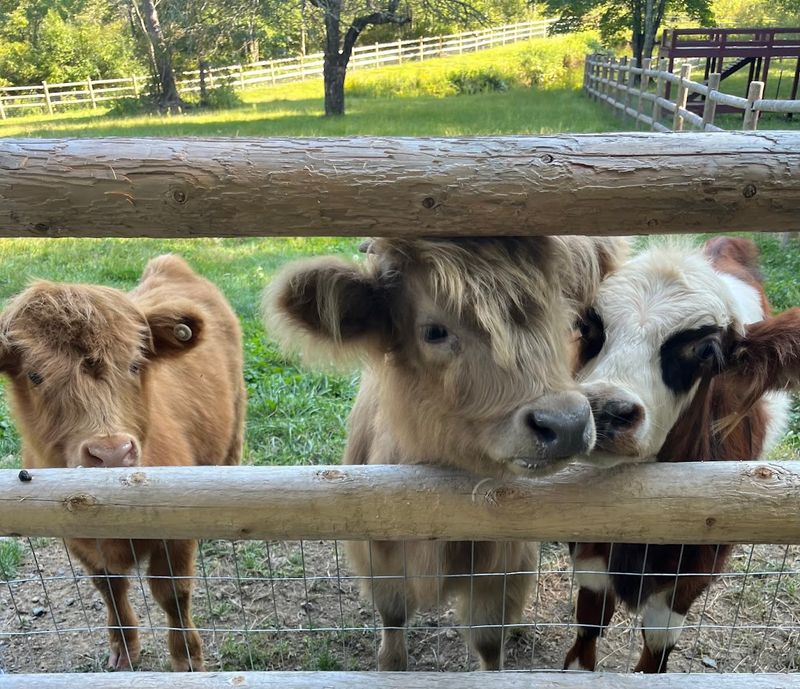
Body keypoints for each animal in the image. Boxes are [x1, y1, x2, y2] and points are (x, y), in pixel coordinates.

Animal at [0, 254, 246, 671]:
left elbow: (172, 595)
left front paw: (187, 658)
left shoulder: (174, 538)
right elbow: (110, 589)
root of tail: (170, 264)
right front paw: (124, 646)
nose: (112, 453)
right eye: (35, 375)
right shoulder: (82, 544)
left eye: (134, 364)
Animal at [264, 236, 626, 670]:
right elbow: (392, 628)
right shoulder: (378, 560)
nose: (567, 424)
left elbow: (489, 643)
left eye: (562, 316)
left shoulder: (503, 569)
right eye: (434, 331)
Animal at [564, 237, 794, 673]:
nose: (603, 410)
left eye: (705, 349)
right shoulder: (589, 555)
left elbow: (655, 654)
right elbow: (586, 635)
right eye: (587, 326)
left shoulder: (690, 580)